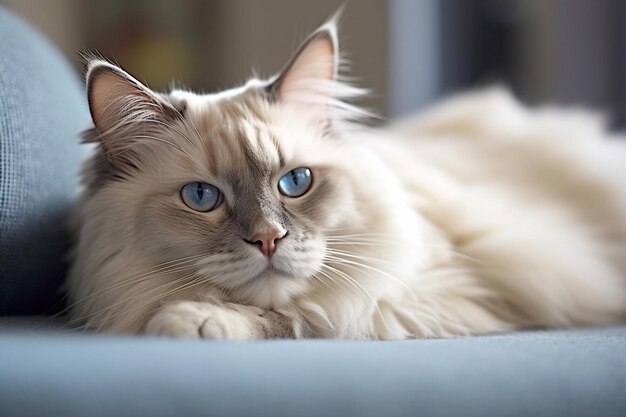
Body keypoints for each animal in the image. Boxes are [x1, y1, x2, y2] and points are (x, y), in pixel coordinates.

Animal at [66, 17, 624, 340]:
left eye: (296, 182)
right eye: (202, 197)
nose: (268, 239)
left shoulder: (424, 296)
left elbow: (301, 315)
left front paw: (193, 320)